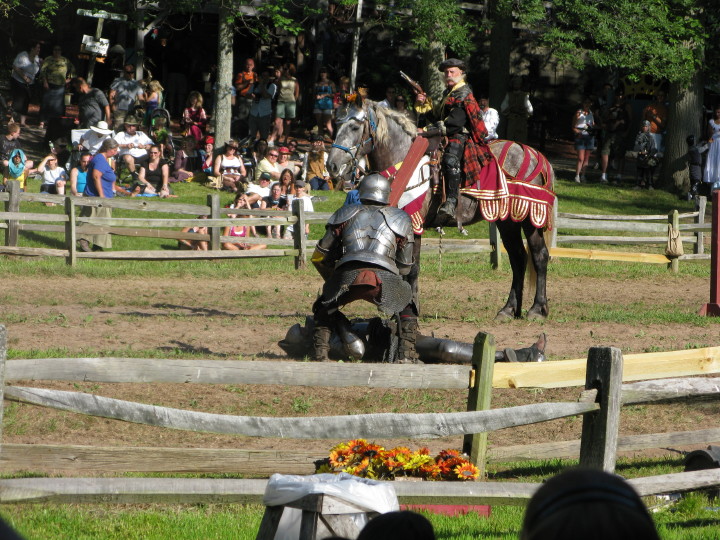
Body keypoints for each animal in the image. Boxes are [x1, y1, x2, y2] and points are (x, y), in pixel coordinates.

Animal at [326, 98, 556, 320]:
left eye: (355, 126)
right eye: (337, 124)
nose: (332, 165)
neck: (404, 158)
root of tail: (536, 155)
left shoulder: (412, 222)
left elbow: (412, 268)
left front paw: (412, 307)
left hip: (528, 218)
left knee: (539, 256)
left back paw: (537, 309)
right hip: (507, 221)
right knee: (518, 258)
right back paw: (509, 310)